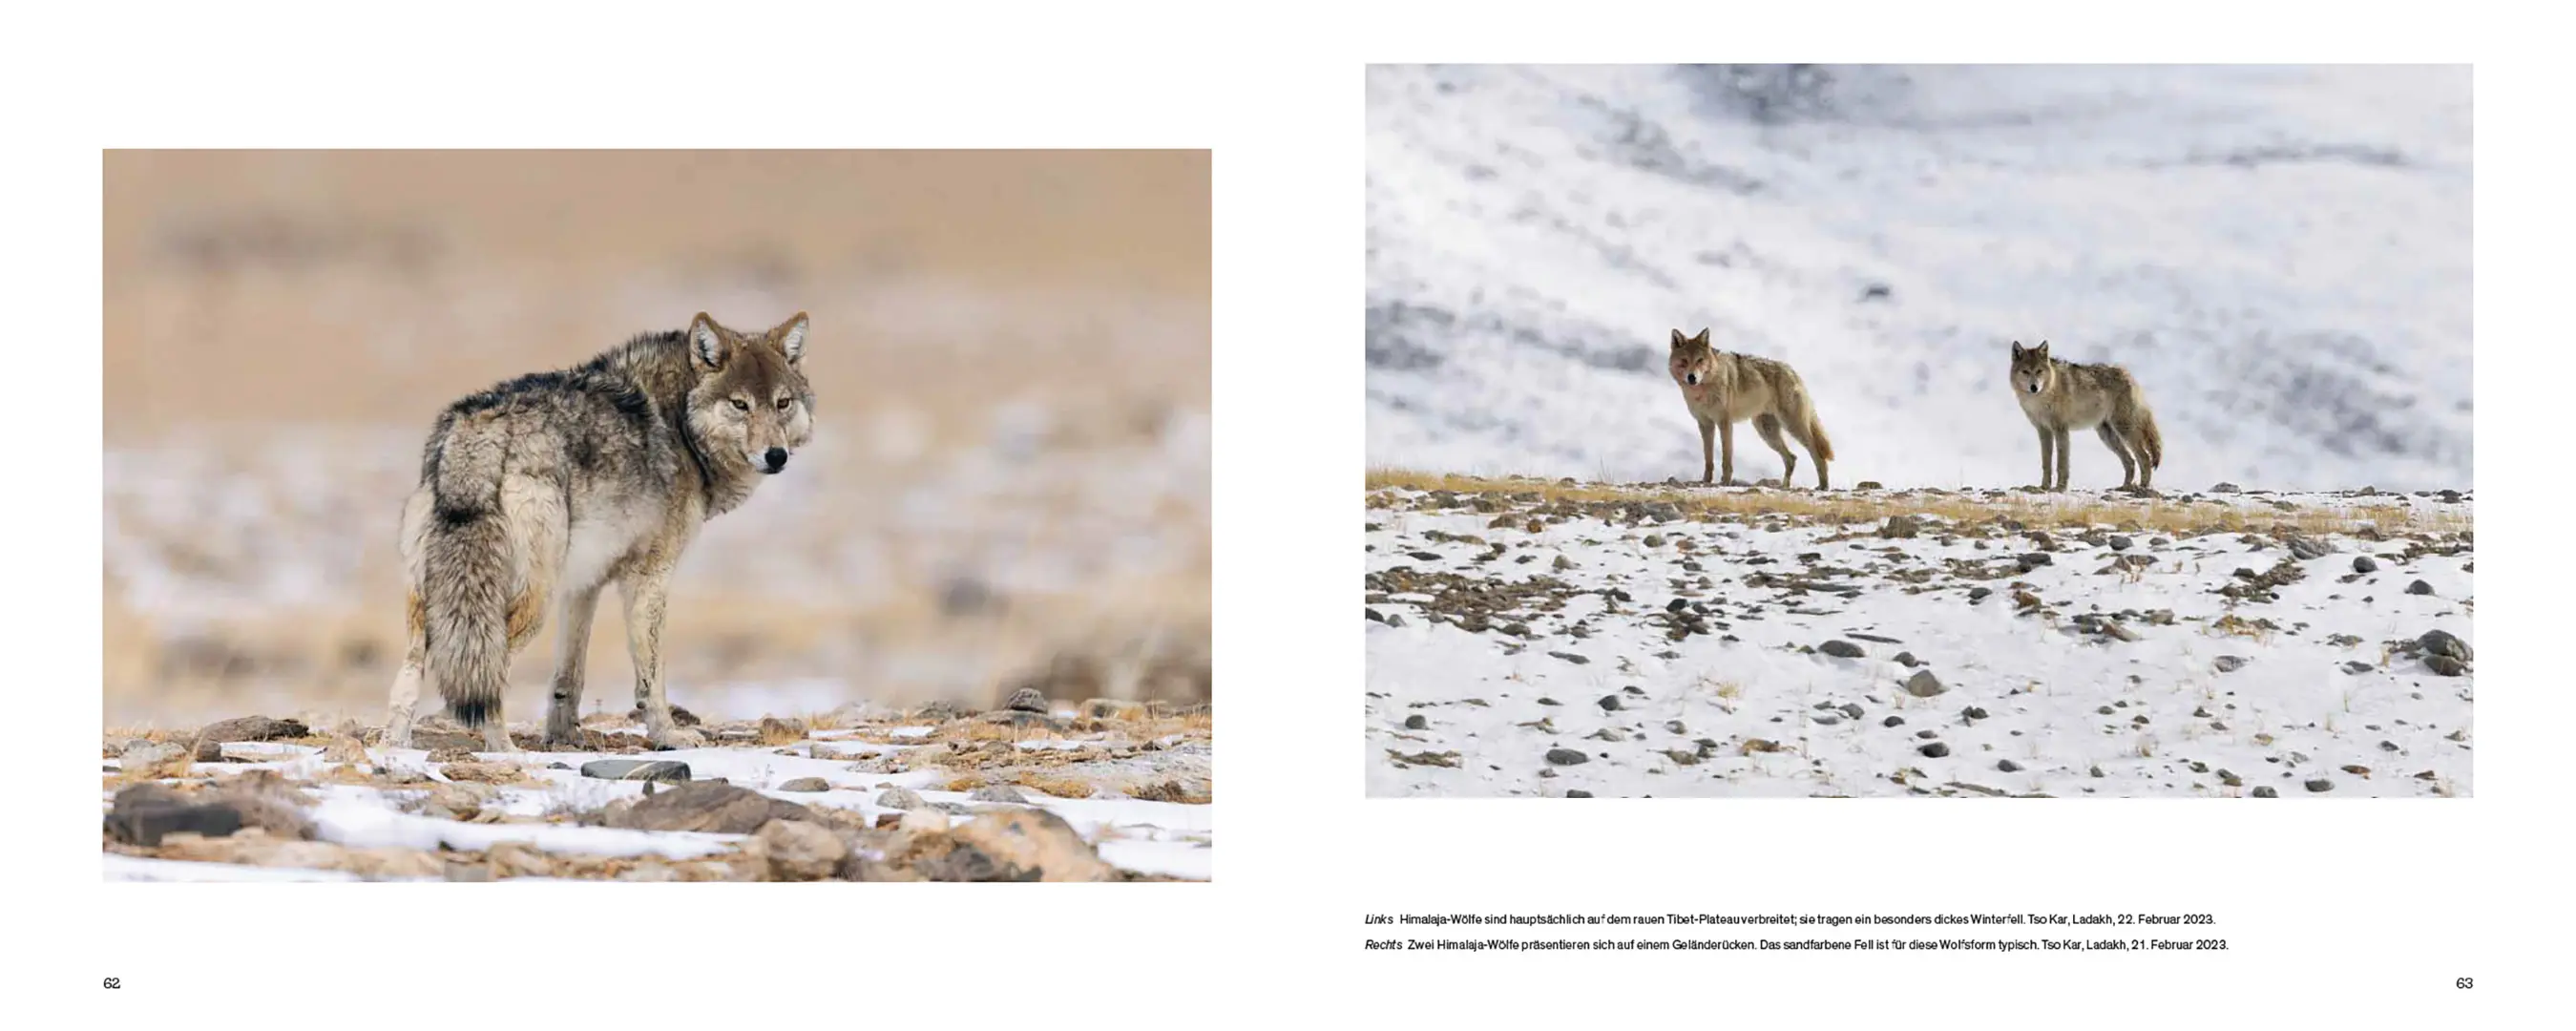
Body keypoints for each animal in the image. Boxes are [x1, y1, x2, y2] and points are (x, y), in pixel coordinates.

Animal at [383, 312, 816, 751]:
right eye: (739, 404)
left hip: (436, 608)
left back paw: (392, 747)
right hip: (531, 600)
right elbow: (651, 677)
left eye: (782, 403)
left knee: (410, 674)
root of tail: (476, 437)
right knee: (489, 674)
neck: (681, 426)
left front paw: (564, 737)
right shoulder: (649, 578)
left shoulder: (583, 586)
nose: (776, 456)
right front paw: (669, 735)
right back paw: (503, 751)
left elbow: (568, 677)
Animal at [1666, 328, 1836, 488]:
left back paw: (1823, 486)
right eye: (1684, 361)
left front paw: (1725, 482)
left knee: (1817, 452)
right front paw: (1706, 481)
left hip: (1791, 426)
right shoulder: (1705, 424)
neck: (1703, 390)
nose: (1692, 377)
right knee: (1792, 458)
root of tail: (1792, 371)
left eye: (1700, 360)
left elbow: (1726, 458)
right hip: (1767, 432)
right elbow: (1708, 458)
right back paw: (1784, 486)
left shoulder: (1724, 423)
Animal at [2007, 340, 2163, 491]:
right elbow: (2046, 463)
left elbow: (2062, 463)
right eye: (2025, 372)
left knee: (2144, 458)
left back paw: (2142, 488)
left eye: (2039, 371)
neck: (2043, 396)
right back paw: (2124, 487)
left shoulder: (2061, 429)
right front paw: (2044, 486)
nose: (2034, 387)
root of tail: (2128, 374)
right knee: (2130, 461)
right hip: (2107, 436)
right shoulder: (2043, 430)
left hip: (2123, 429)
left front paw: (2060, 488)